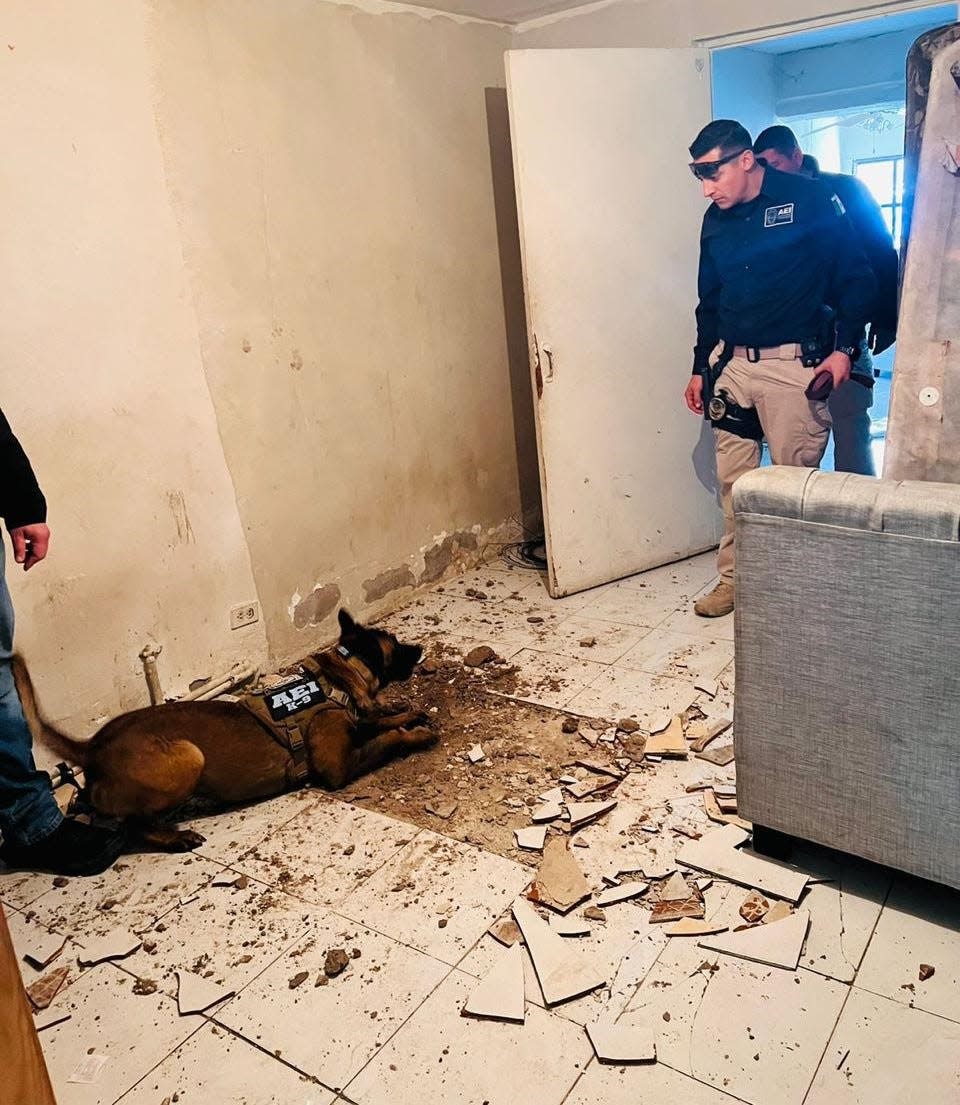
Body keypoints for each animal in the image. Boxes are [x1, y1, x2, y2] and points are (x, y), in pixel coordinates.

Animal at [11, 609, 437, 848]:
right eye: (396, 644)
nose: (419, 650)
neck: (337, 679)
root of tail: (92, 747)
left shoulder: (356, 722)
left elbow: (378, 719)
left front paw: (405, 712)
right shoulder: (338, 766)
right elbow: (386, 739)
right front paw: (414, 734)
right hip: (188, 756)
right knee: (131, 825)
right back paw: (173, 837)